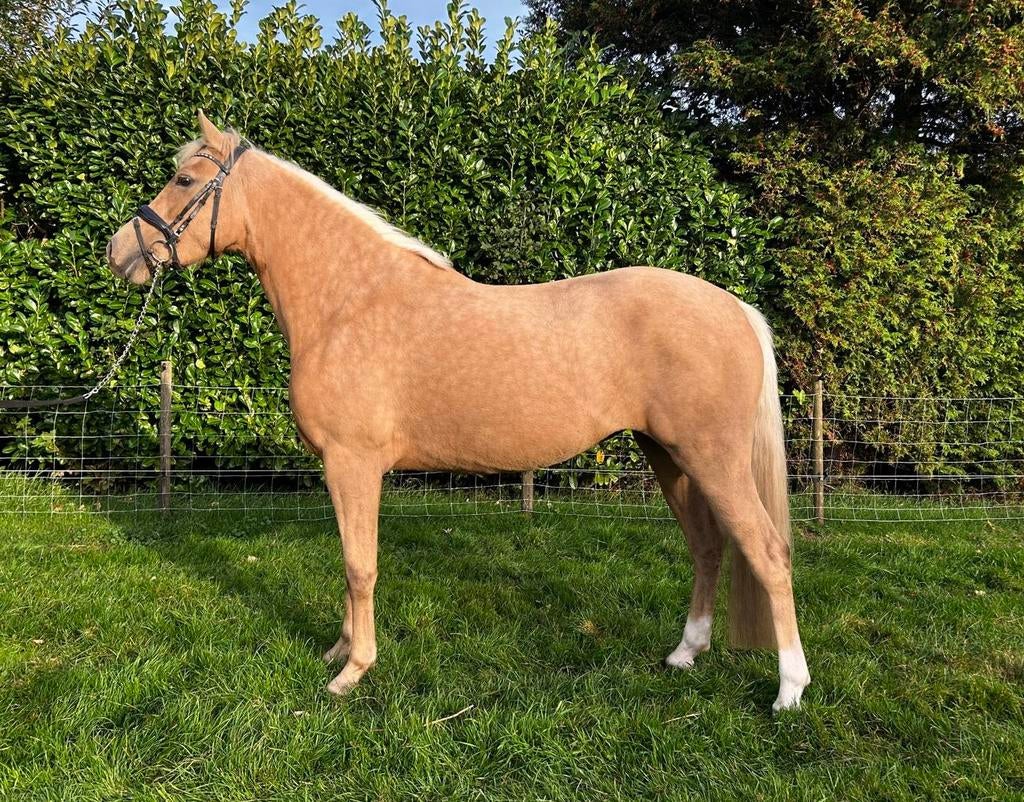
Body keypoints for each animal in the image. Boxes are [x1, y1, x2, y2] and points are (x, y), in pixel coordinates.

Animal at [106, 112, 810, 711]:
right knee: (708, 546)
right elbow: (349, 562)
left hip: (712, 459)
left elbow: (360, 565)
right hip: (668, 456)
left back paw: (789, 690)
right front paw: (339, 650)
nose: (119, 252)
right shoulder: (346, 469)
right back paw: (686, 653)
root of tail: (736, 308)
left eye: (184, 180)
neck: (349, 302)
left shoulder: (352, 463)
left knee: (769, 552)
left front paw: (351, 671)